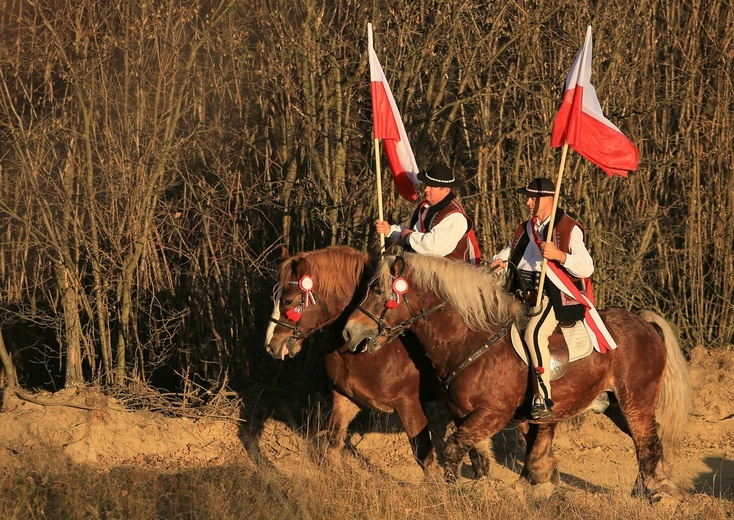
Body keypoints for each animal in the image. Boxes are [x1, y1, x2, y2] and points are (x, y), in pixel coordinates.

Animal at [264, 246, 494, 478]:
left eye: (288, 301)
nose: (270, 345)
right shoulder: (345, 397)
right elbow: (334, 440)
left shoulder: (409, 404)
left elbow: (425, 458)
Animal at [342, 253, 692, 496]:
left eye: (377, 289)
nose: (349, 333)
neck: (470, 338)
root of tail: (644, 321)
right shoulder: (465, 413)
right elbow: (479, 458)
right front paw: (486, 492)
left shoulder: (493, 412)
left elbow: (453, 449)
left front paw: (452, 493)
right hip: (616, 406)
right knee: (649, 440)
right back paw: (652, 487)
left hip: (636, 400)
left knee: (646, 441)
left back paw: (651, 494)